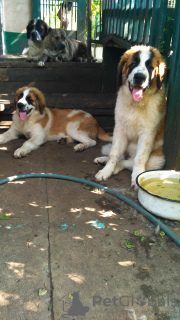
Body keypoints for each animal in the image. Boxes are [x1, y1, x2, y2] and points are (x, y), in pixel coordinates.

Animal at [95, 45, 167, 188]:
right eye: (133, 64)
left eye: (150, 67)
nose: (139, 77)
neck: (135, 104)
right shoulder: (119, 129)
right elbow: (114, 153)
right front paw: (106, 170)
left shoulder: (147, 134)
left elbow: (139, 159)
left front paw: (137, 177)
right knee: (121, 156)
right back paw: (104, 160)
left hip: (157, 160)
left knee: (129, 162)